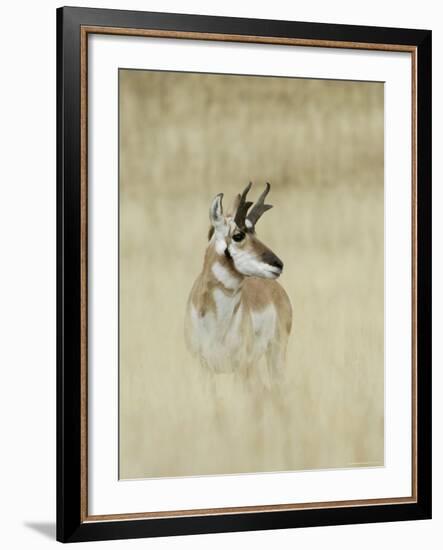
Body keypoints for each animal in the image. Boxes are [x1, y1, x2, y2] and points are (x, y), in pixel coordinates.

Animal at [186, 183, 294, 386]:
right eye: (238, 235)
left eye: (256, 233)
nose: (278, 264)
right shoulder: (204, 369)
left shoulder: (243, 368)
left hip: (275, 355)